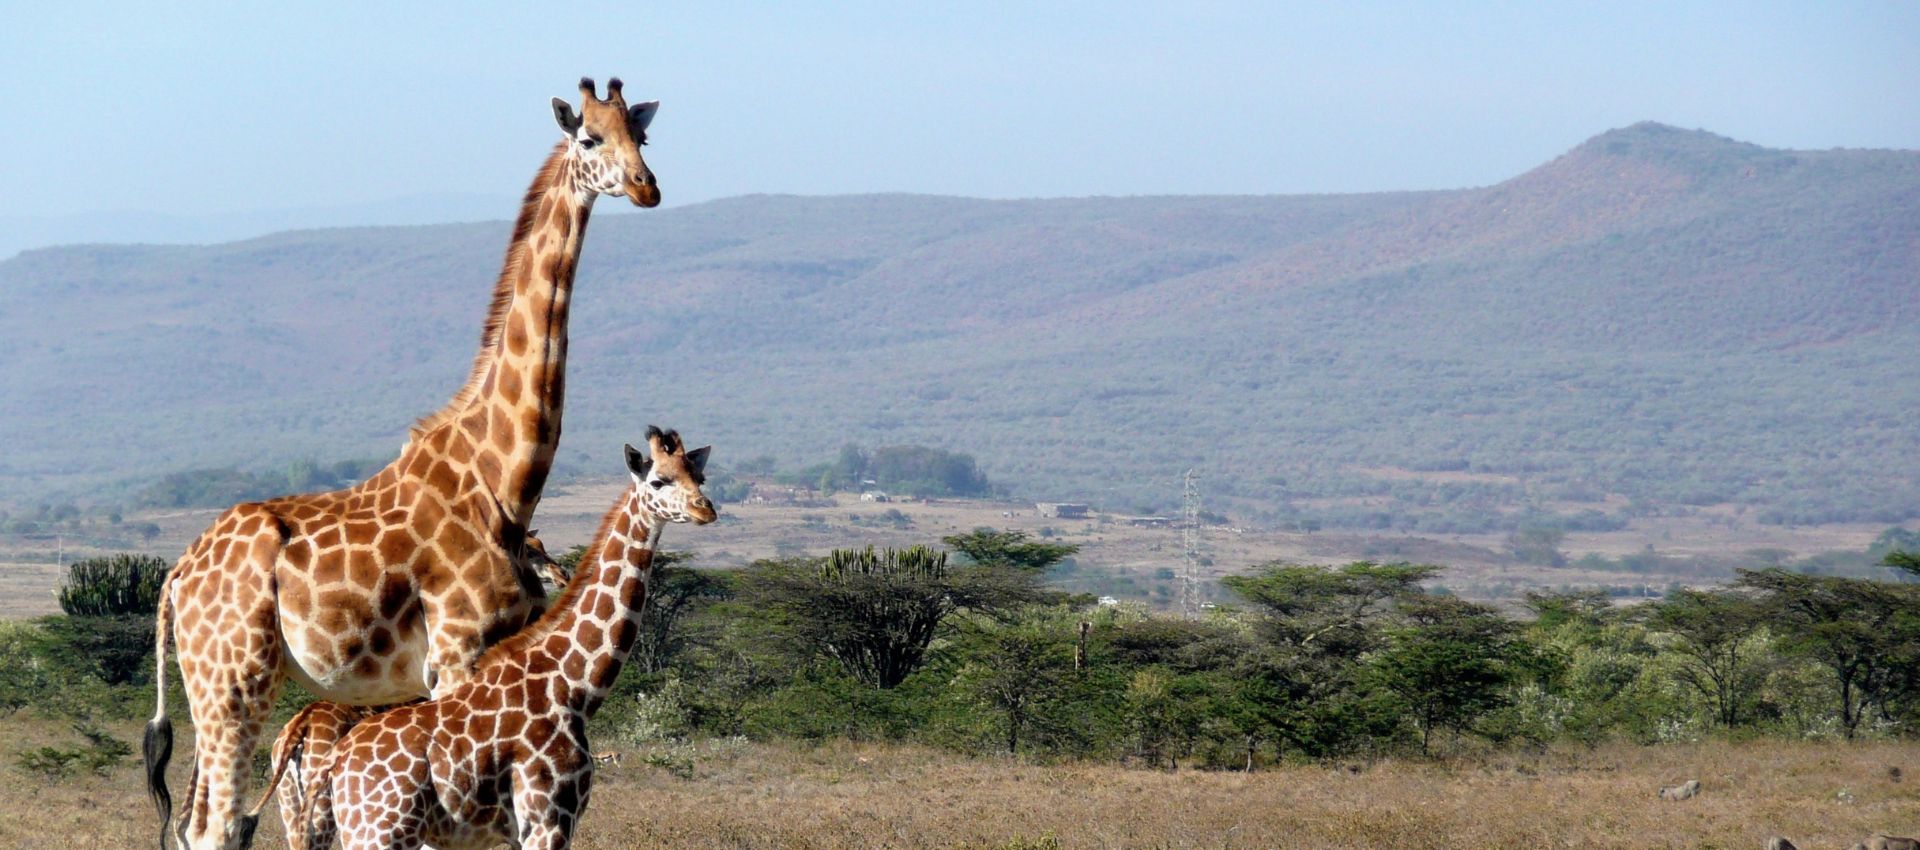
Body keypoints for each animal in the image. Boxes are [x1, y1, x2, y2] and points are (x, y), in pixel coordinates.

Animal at [145, 79, 664, 850]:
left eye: (643, 135)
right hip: (233, 678)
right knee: (213, 823)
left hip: (217, 681)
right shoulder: (457, 655)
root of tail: (178, 575)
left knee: (203, 820)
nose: (646, 186)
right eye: (589, 138)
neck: (504, 480)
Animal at [272, 431, 714, 850]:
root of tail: (335, 760)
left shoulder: (521, 830)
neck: (573, 685)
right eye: (658, 480)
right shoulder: (548, 819)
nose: (705, 508)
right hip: (378, 829)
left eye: (699, 476)